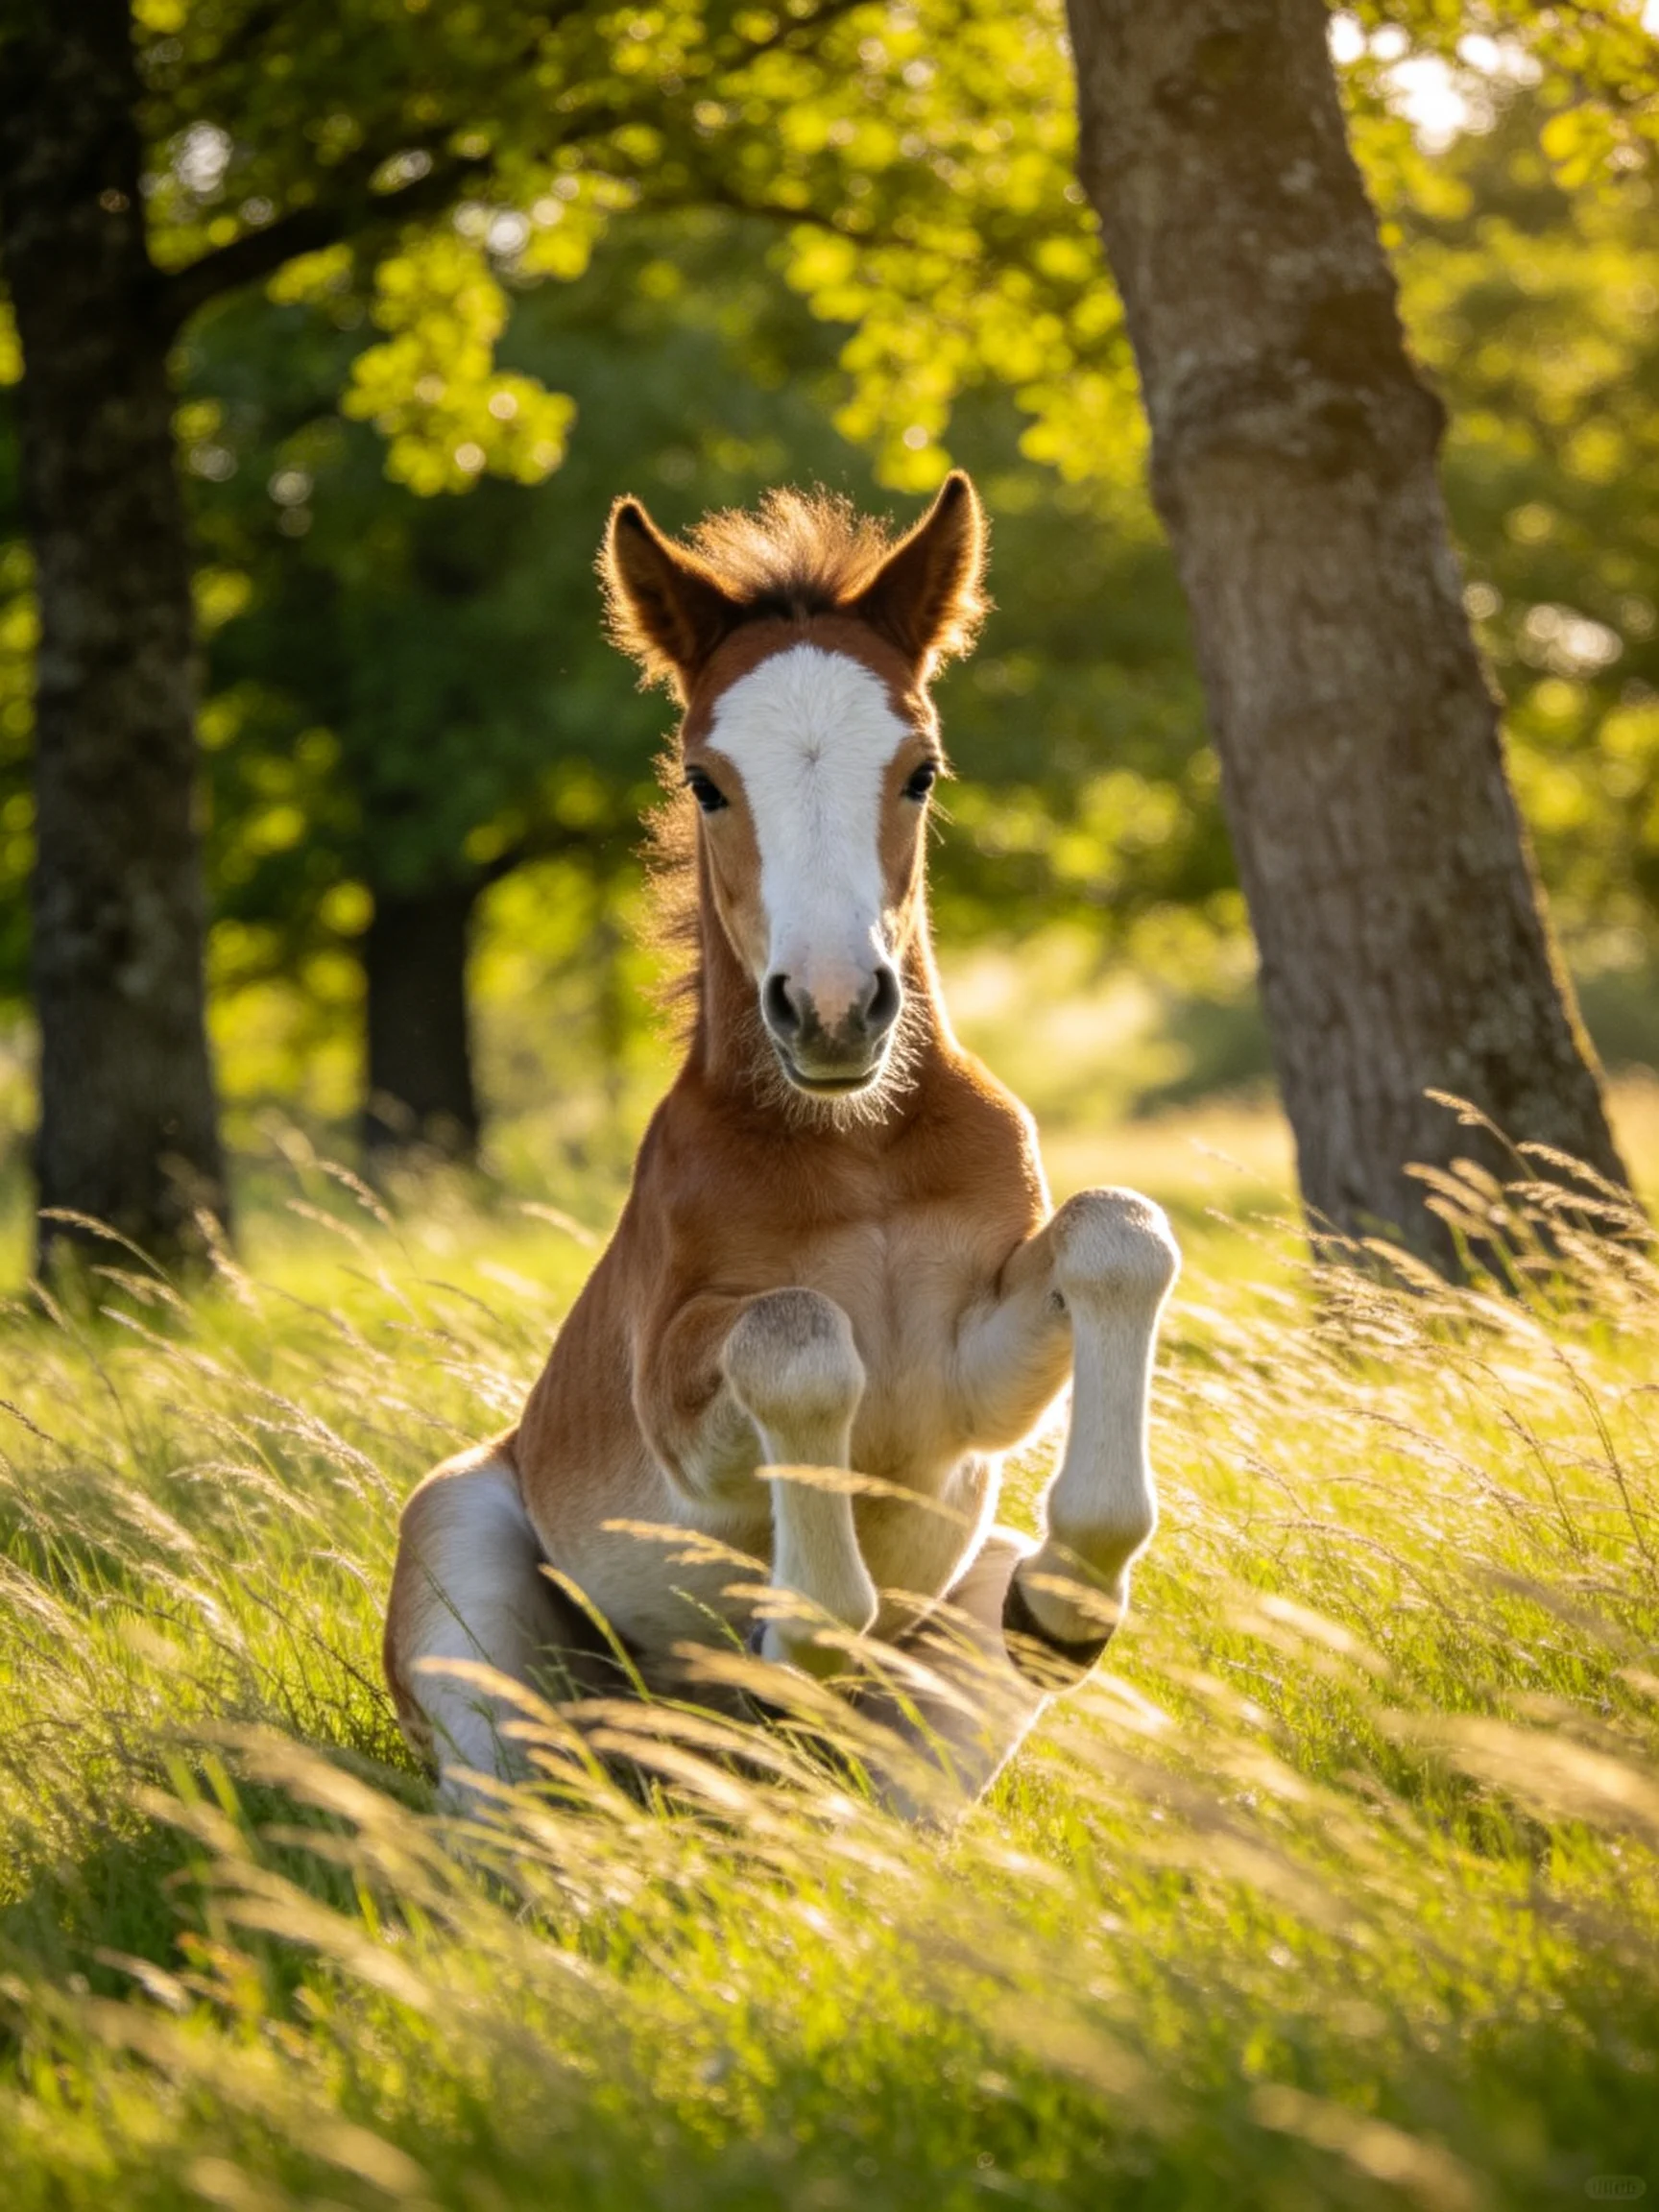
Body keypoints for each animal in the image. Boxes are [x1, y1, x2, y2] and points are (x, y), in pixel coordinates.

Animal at [384, 471, 1180, 1815]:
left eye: (921, 770)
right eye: (707, 779)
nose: (833, 1008)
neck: (858, 1151)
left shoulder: (969, 1385)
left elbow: (1119, 1232)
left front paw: (1068, 1591)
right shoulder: (676, 1399)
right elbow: (797, 1334)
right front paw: (802, 1629)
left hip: (946, 1689)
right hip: (465, 1572)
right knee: (502, 1813)